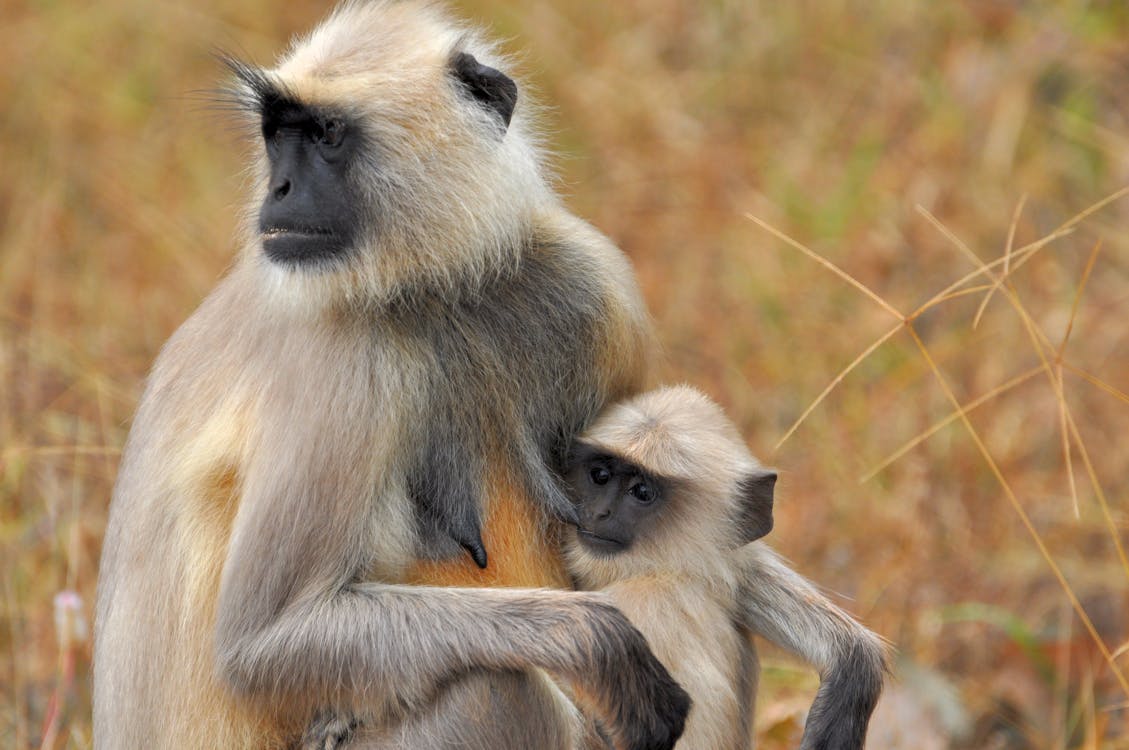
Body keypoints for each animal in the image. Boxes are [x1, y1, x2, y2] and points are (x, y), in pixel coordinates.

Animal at [92, 1, 681, 750]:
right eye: (278, 136)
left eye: (326, 134)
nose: (279, 188)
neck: (426, 289)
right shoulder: (339, 357)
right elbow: (261, 647)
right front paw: (594, 640)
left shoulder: (588, 282)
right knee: (497, 690)